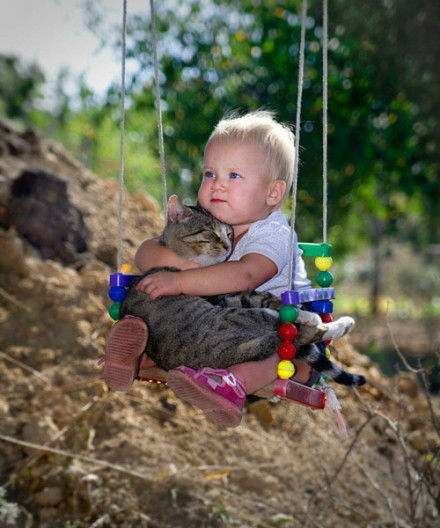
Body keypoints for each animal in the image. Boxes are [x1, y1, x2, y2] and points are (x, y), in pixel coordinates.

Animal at [122, 196, 366, 386]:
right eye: (211, 233)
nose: (228, 246)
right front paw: (304, 312)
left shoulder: (229, 294)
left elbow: (263, 296)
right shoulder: (223, 297)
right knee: (300, 332)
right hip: (245, 319)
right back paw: (329, 321)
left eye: (229, 234)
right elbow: (265, 298)